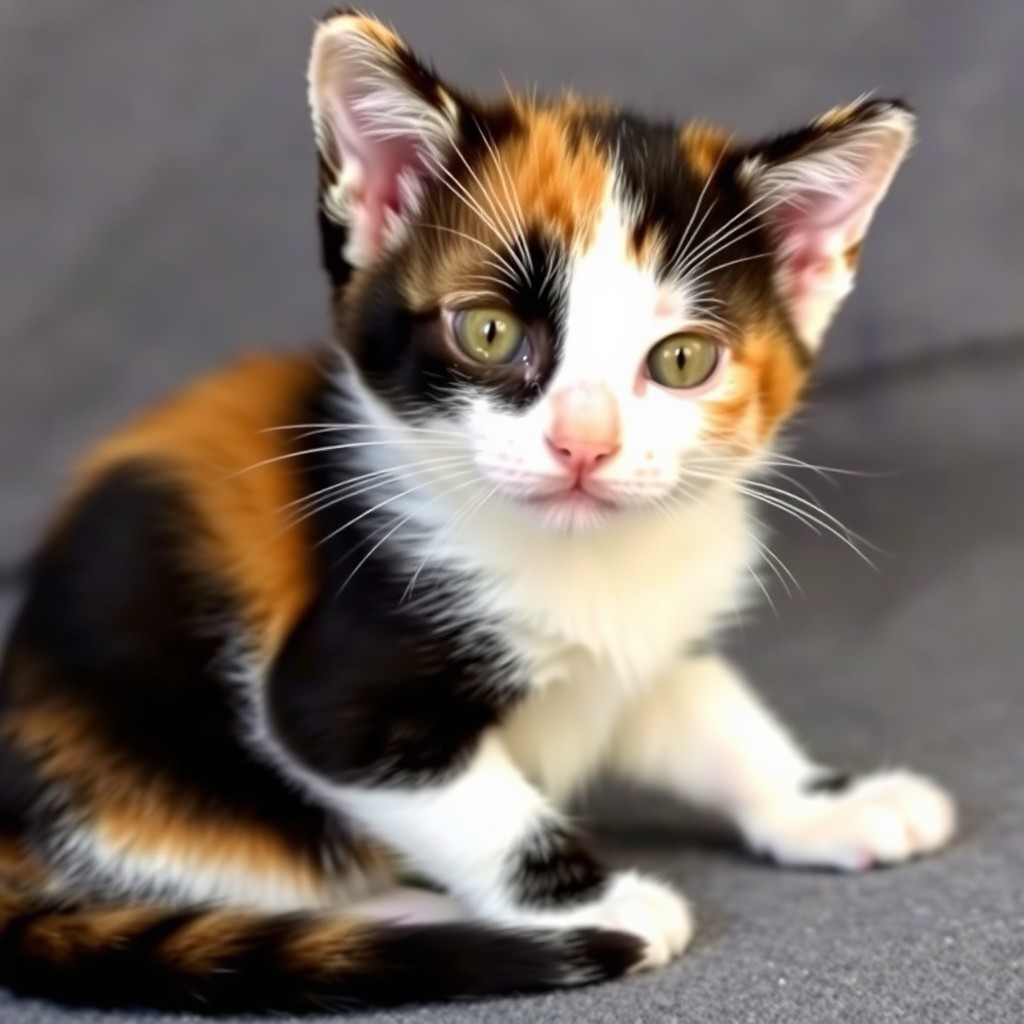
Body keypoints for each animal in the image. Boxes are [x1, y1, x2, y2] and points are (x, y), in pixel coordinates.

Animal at [0, 9, 954, 1015]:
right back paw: (412, 921)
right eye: (489, 332)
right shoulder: (341, 684)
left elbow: (716, 717)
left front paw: (824, 804)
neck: (584, 564)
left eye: (684, 359)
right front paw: (595, 902)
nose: (584, 443)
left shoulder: (647, 646)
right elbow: (474, 803)